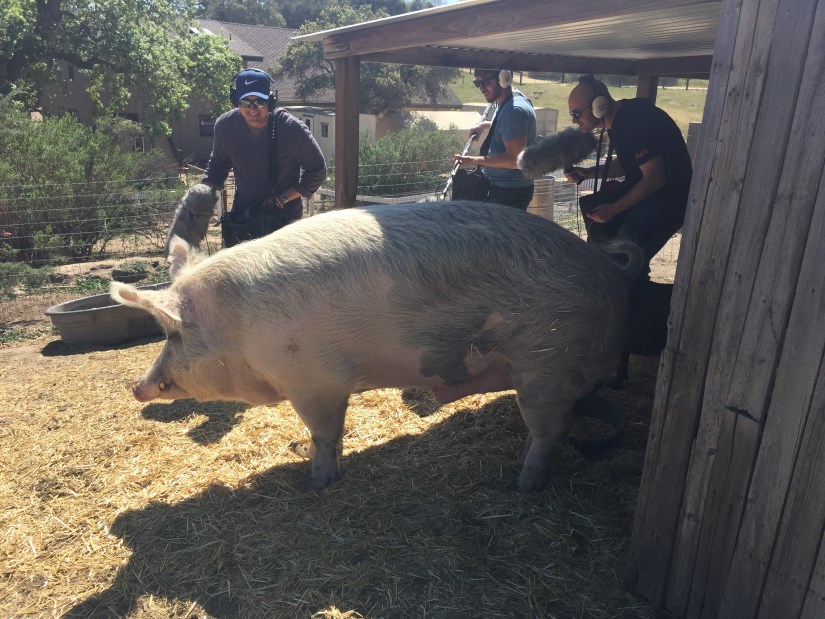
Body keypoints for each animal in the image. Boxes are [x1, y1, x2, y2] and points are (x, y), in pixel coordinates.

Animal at [112, 200, 639, 492]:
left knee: (550, 433)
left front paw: (316, 483)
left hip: (548, 363)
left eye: (172, 334)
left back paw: (521, 487)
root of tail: (612, 277)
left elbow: (326, 433)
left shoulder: (315, 380)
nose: (136, 387)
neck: (239, 327)